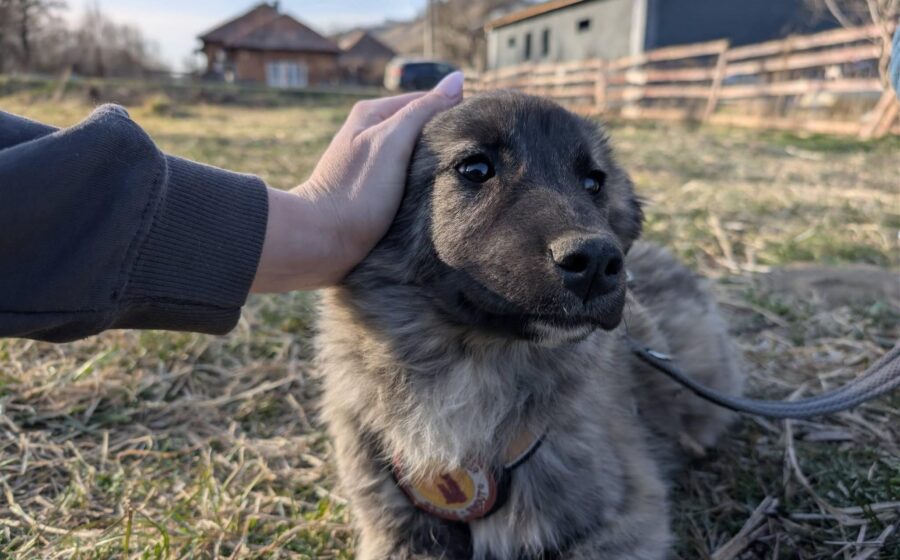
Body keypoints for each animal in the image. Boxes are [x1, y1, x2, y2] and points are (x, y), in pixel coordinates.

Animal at [316, 91, 744, 560]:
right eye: (476, 169)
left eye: (594, 183)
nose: (598, 262)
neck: (473, 369)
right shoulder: (393, 530)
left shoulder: (631, 517)